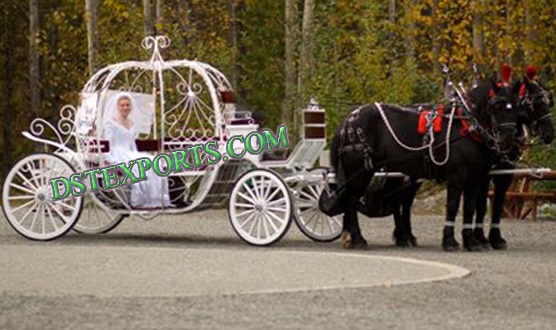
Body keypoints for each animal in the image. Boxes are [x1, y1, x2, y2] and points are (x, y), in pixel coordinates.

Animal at [328, 81, 520, 251]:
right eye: (495, 106)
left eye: (516, 107)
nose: (508, 140)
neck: (467, 126)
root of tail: (349, 119)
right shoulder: (456, 176)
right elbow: (452, 206)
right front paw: (450, 241)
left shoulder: (476, 178)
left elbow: (470, 207)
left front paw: (471, 242)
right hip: (358, 170)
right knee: (352, 200)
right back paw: (358, 239)